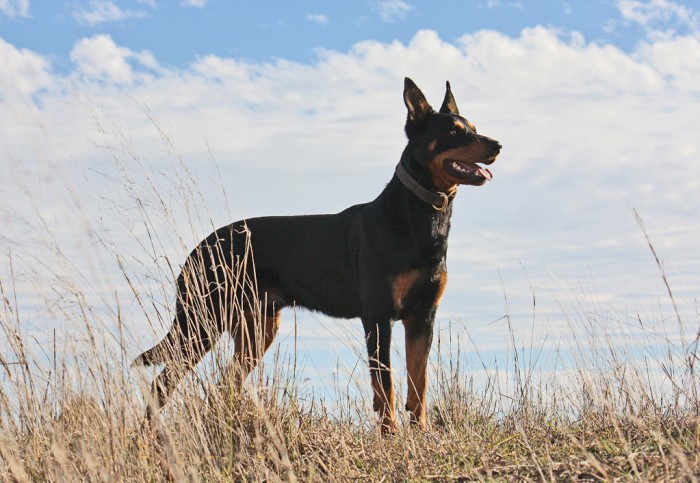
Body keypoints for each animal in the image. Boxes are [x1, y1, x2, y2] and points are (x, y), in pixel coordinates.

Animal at [134, 77, 500, 432]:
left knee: (225, 382)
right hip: (200, 324)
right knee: (162, 385)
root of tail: (197, 250)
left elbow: (418, 382)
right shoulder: (379, 317)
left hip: (257, 328)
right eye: (453, 132)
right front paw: (391, 435)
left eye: (473, 126)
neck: (419, 218)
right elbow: (386, 385)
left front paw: (421, 433)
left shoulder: (423, 316)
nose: (498, 145)